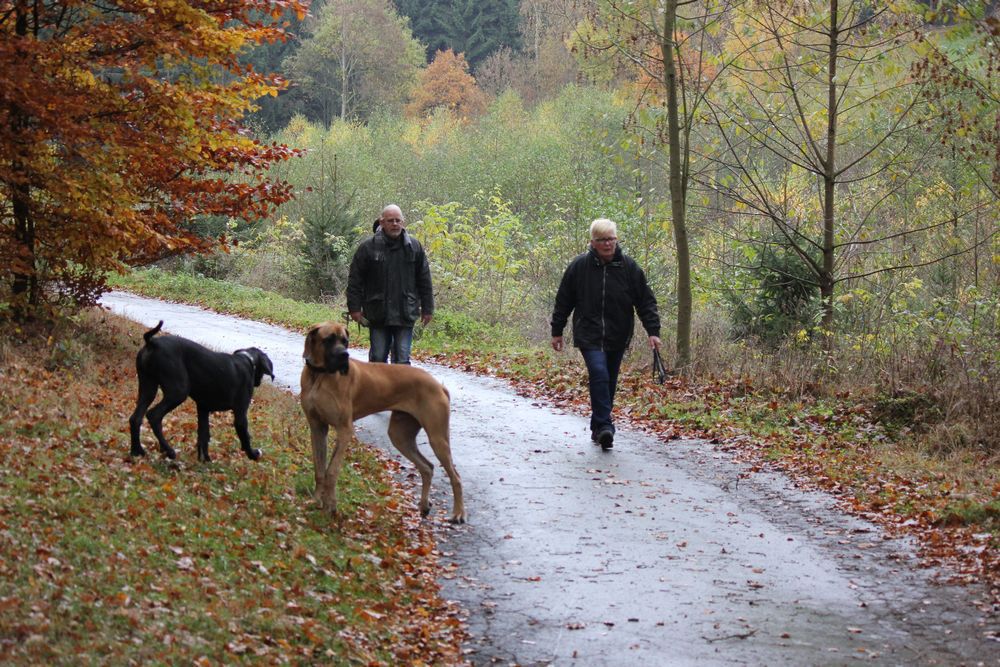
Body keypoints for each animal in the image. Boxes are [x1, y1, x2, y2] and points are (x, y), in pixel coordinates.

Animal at [129, 321, 274, 462]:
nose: (258, 382)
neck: (248, 360)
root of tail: (152, 342)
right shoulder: (240, 412)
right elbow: (245, 437)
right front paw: (253, 454)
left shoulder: (203, 408)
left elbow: (203, 436)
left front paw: (205, 460)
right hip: (178, 392)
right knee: (153, 415)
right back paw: (169, 451)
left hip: (148, 387)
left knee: (135, 418)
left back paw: (137, 451)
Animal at [299, 321, 466, 523]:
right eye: (329, 339)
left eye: (345, 341)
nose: (345, 355)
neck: (319, 375)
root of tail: (439, 385)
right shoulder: (317, 427)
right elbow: (319, 469)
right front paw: (316, 500)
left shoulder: (344, 429)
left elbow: (332, 470)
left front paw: (330, 505)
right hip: (400, 435)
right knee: (427, 467)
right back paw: (424, 506)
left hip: (437, 436)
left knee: (455, 476)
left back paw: (458, 513)